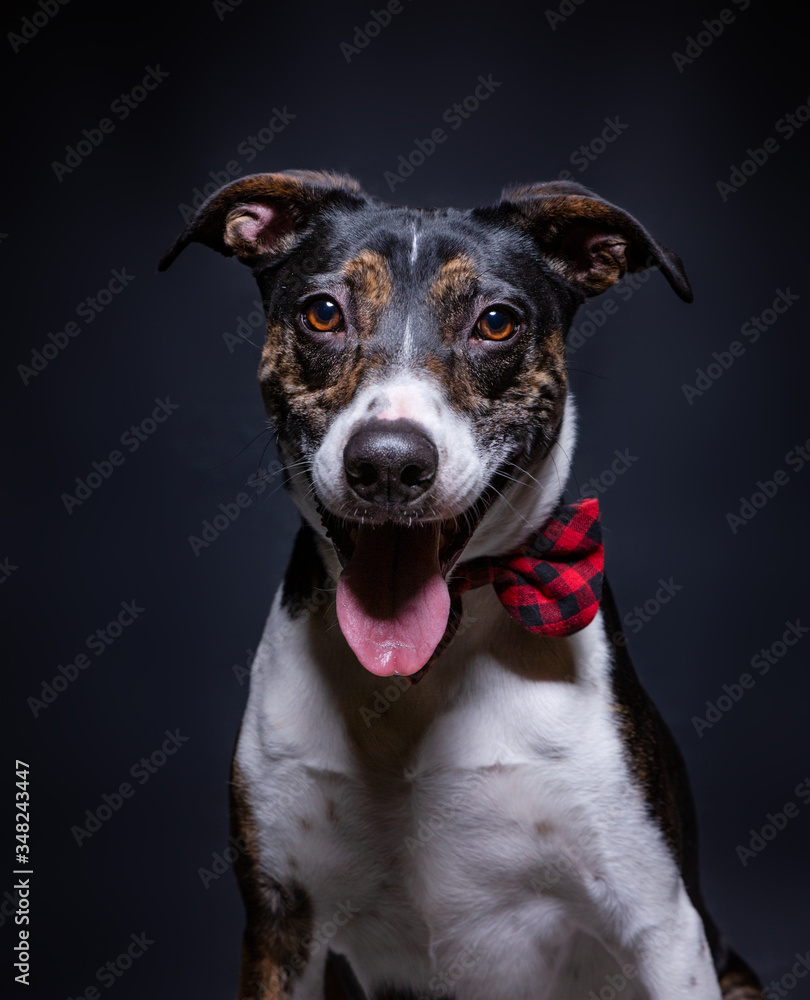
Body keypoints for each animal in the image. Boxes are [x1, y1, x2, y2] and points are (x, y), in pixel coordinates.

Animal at [159, 172, 764, 1000]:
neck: (423, 672)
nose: (387, 462)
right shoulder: (280, 920)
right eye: (323, 312)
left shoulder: (661, 925)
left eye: (497, 322)